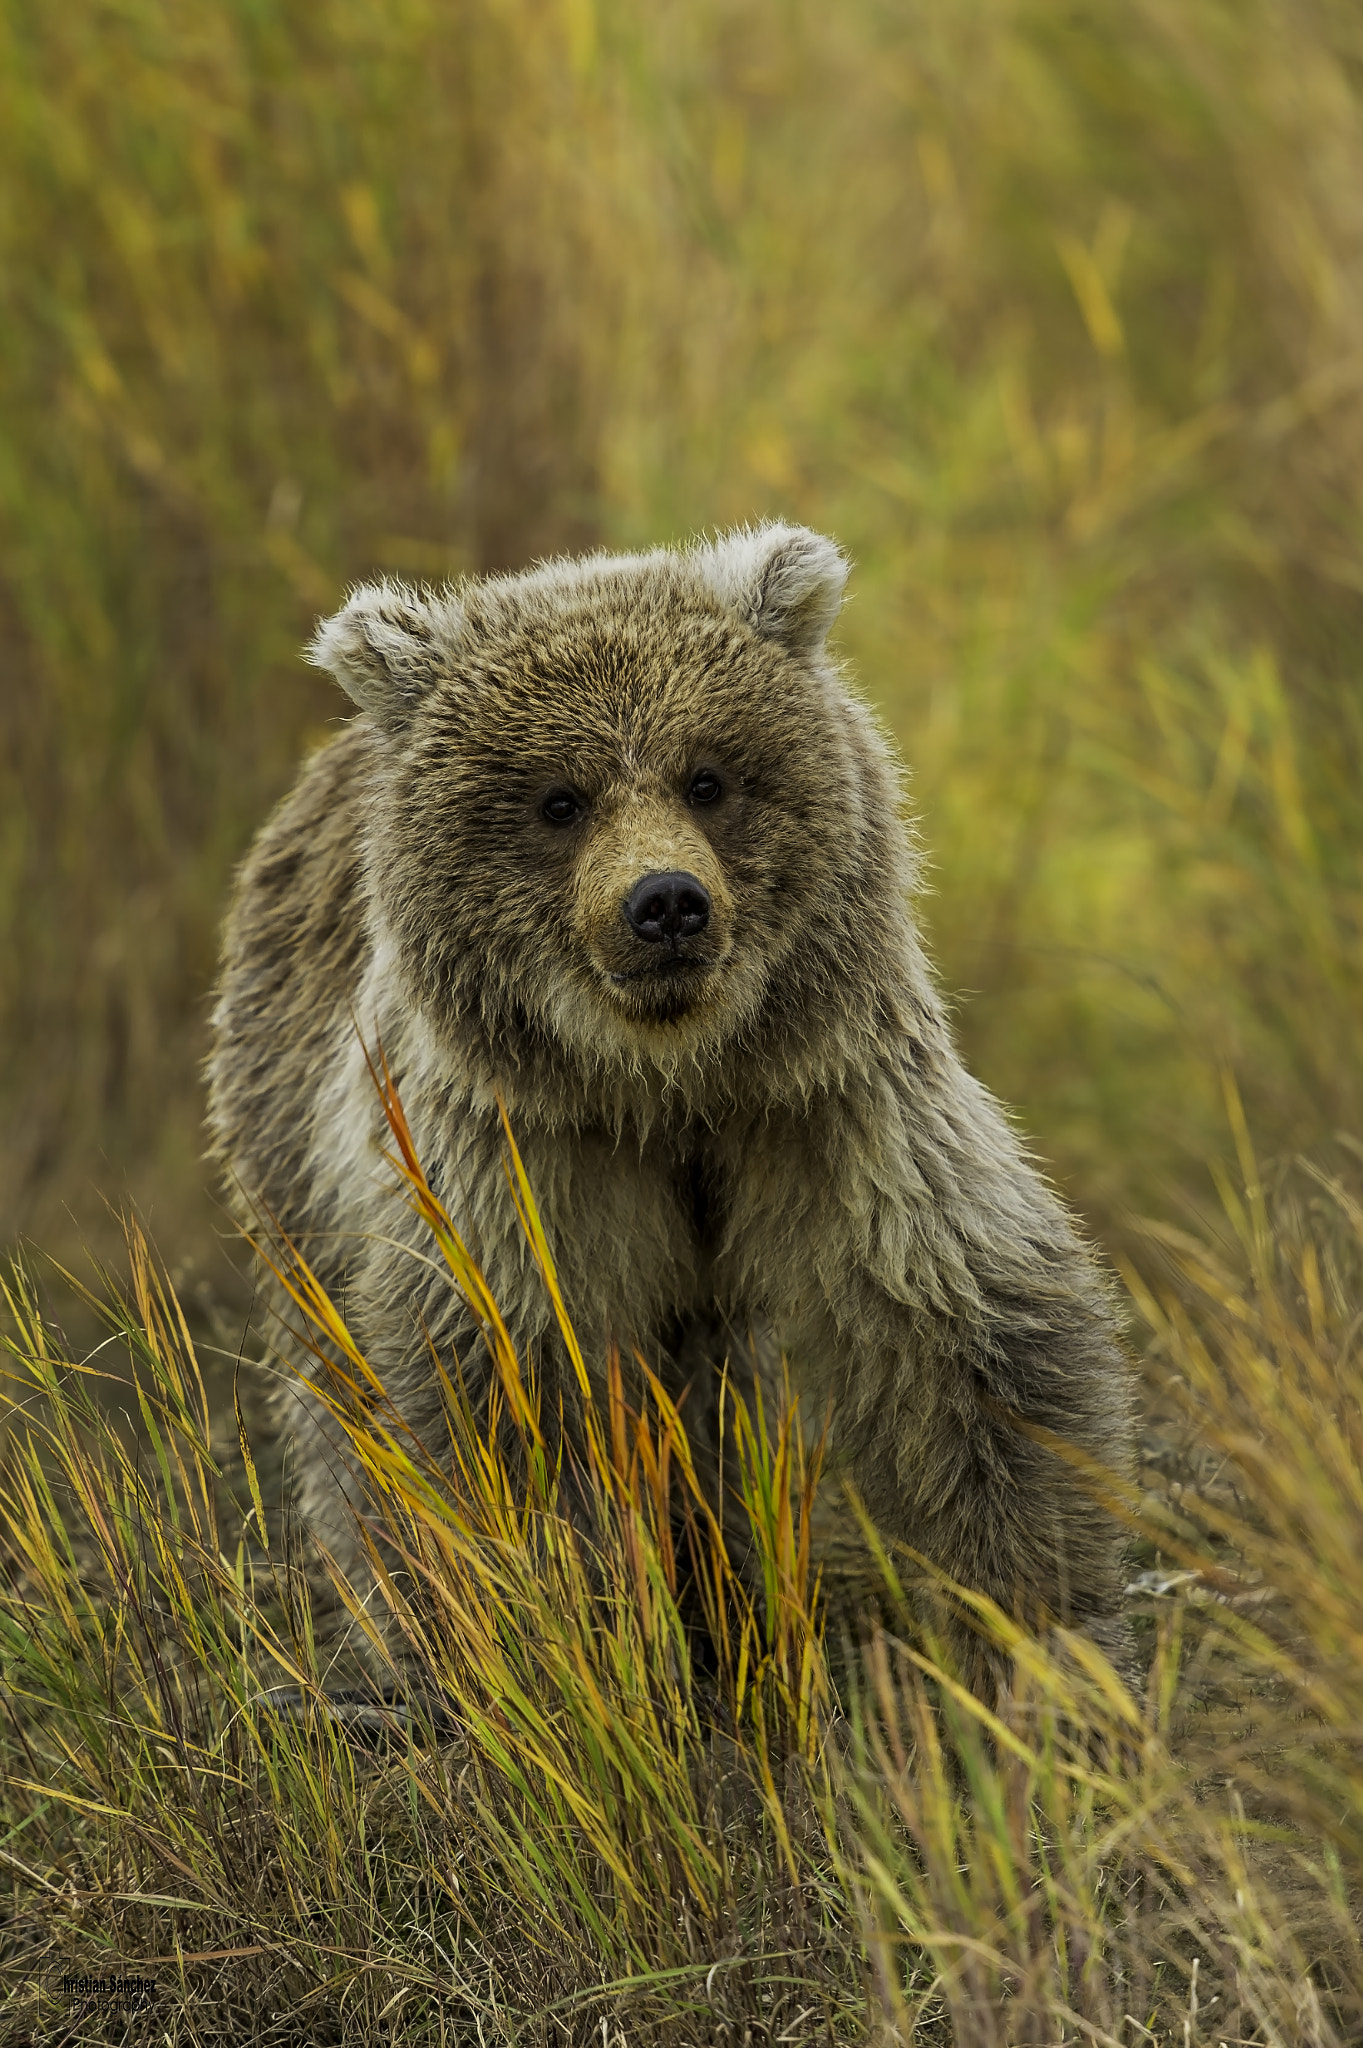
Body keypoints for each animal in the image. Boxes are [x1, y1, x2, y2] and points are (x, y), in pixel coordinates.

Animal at [206, 524, 1129, 1662]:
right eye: (559, 800)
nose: (666, 903)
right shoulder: (522, 1156)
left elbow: (960, 1331)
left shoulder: (824, 1107)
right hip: (288, 1143)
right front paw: (569, 1615)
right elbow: (516, 1396)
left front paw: (1036, 1615)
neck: (667, 1079)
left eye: (707, 778)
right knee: (334, 1381)